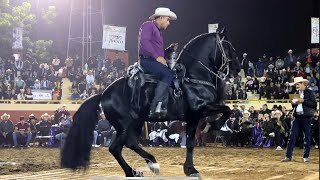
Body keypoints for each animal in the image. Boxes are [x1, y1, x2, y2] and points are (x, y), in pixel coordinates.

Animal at [60, 31, 240, 176]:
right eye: (227, 46)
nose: (237, 69)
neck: (193, 76)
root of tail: (103, 93)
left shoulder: (193, 118)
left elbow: (190, 143)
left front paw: (190, 168)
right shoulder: (200, 109)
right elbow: (227, 109)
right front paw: (214, 126)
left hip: (134, 123)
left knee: (127, 145)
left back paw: (143, 166)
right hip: (126, 124)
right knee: (118, 147)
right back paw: (141, 168)